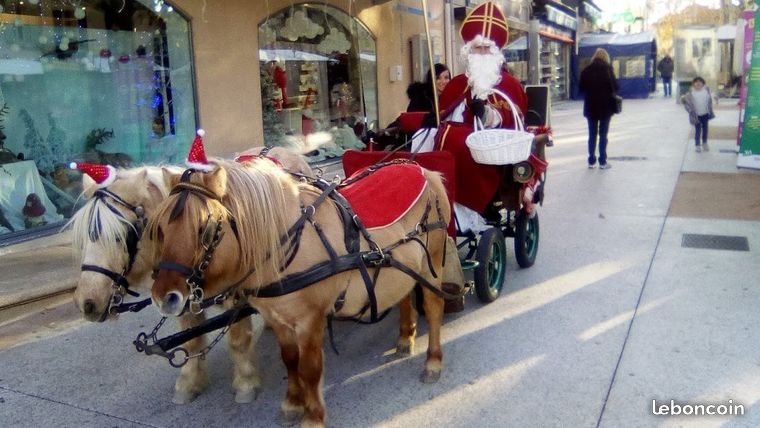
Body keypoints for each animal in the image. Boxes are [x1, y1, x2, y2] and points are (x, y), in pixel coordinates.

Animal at [68, 145, 310, 402]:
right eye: (84, 237)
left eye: (122, 235)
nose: (86, 302)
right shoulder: (177, 298)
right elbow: (192, 340)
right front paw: (189, 383)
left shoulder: (233, 293)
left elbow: (237, 339)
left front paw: (245, 383)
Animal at [148, 159, 452, 426]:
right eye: (160, 228)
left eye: (206, 229)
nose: (164, 297)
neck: (285, 240)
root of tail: (422, 169)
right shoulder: (278, 318)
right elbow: (290, 360)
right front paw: (292, 403)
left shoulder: (309, 320)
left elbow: (309, 368)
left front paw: (313, 416)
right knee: (404, 296)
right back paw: (405, 338)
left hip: (433, 262)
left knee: (434, 306)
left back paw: (433, 362)